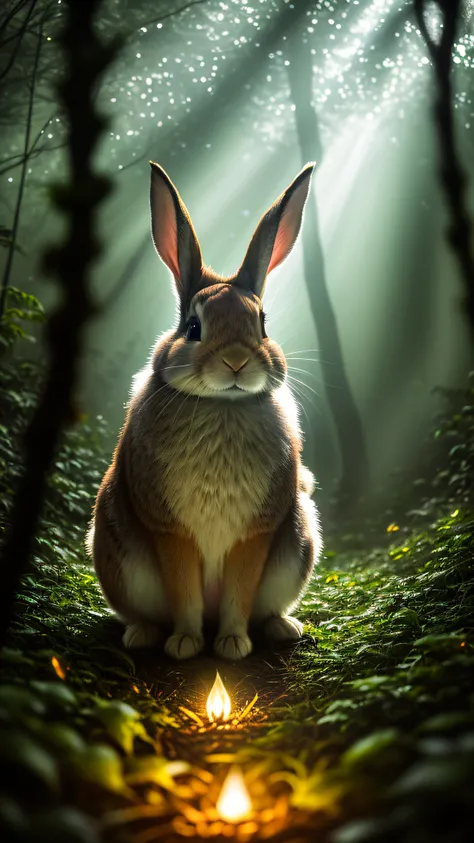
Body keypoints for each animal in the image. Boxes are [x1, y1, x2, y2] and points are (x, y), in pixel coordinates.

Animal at [86, 160, 322, 660]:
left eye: (262, 324)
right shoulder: (170, 532)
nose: (236, 361)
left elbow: (237, 595)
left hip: (297, 547)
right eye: (194, 327)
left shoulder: (255, 534)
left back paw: (282, 628)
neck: (222, 404)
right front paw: (186, 645)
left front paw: (231, 645)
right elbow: (185, 594)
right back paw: (144, 635)